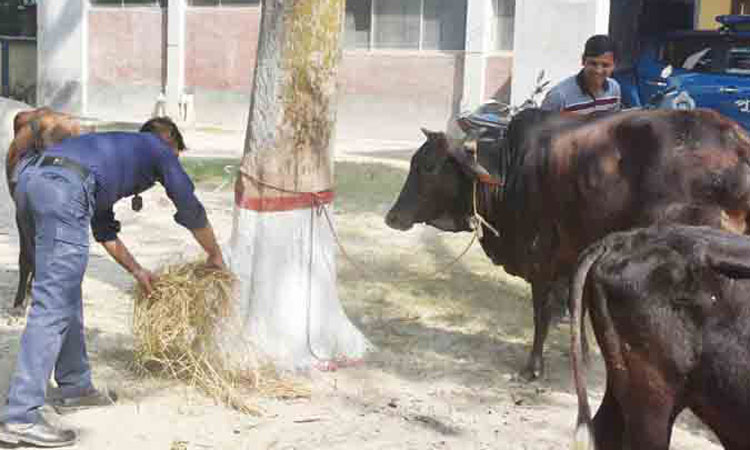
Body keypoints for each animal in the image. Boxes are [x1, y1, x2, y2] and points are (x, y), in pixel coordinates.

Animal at [388, 109, 750, 380]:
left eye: (428, 167)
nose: (392, 217)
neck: (509, 171)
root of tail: (736, 139)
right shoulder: (575, 255)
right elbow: (580, 307)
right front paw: (585, 355)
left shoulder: (540, 260)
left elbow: (541, 313)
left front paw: (533, 367)